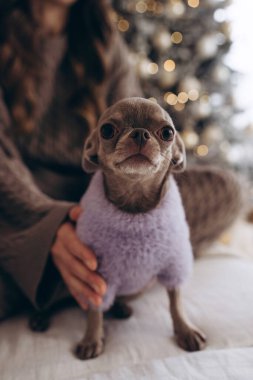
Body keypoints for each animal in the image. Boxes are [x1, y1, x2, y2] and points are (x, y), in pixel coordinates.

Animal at [74, 97, 206, 360]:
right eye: (107, 130)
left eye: (167, 132)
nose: (140, 133)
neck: (134, 206)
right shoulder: (97, 276)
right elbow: (95, 310)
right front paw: (92, 337)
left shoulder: (174, 266)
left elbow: (176, 301)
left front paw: (185, 330)